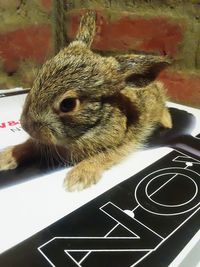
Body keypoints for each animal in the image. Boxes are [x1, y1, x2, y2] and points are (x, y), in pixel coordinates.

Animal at [0, 11, 172, 192]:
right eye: (40, 73)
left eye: (68, 104)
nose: (25, 125)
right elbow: (30, 145)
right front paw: (7, 156)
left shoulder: (123, 143)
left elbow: (102, 157)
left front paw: (77, 179)